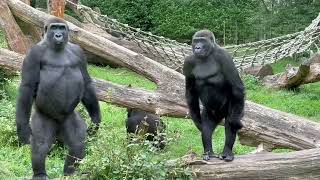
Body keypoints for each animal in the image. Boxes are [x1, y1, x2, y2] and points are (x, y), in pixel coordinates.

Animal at [14, 16, 100, 179]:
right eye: (54, 28)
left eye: (61, 28)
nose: (58, 35)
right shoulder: (33, 53)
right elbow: (27, 87)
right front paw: (22, 131)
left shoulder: (79, 52)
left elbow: (86, 83)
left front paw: (96, 120)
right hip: (44, 116)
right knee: (40, 144)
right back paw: (40, 174)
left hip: (69, 117)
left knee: (77, 142)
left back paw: (70, 172)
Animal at [182, 29, 245, 162]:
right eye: (196, 41)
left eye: (202, 41)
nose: (197, 47)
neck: (208, 53)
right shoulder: (188, 62)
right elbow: (190, 93)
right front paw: (197, 121)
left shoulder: (225, 57)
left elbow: (237, 88)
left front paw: (234, 122)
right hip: (211, 113)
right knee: (207, 127)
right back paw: (209, 152)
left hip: (234, 106)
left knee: (230, 121)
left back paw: (227, 152)